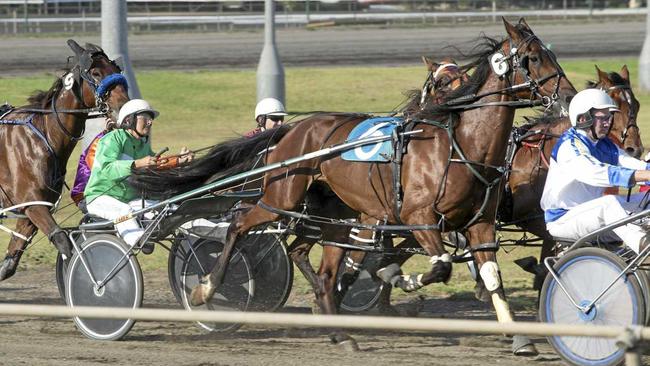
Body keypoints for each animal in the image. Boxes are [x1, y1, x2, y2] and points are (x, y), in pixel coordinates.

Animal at [0, 40, 130, 280]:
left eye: (117, 69)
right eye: (96, 73)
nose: (124, 109)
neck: (43, 134)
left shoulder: (34, 208)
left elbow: (10, 262)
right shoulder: (32, 203)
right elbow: (63, 241)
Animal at [187, 18, 572, 354]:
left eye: (551, 53)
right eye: (533, 57)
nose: (568, 96)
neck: (462, 146)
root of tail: (295, 127)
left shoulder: (480, 225)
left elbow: (491, 276)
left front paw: (521, 338)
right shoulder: (418, 219)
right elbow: (438, 266)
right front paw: (396, 278)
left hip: (338, 216)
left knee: (322, 269)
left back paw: (341, 333)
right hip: (281, 197)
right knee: (240, 225)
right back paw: (205, 289)